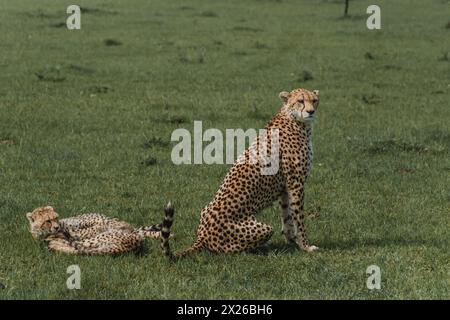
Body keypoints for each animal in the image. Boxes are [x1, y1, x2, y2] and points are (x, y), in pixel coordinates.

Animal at [161, 87, 320, 260]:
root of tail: (201, 237)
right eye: (300, 101)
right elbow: (299, 216)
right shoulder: (296, 182)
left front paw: (292, 239)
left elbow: (287, 214)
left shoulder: (285, 186)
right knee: (226, 251)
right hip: (262, 228)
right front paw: (305, 246)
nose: (311, 112)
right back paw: (261, 248)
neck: (294, 119)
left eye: (314, 101)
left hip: (205, 209)